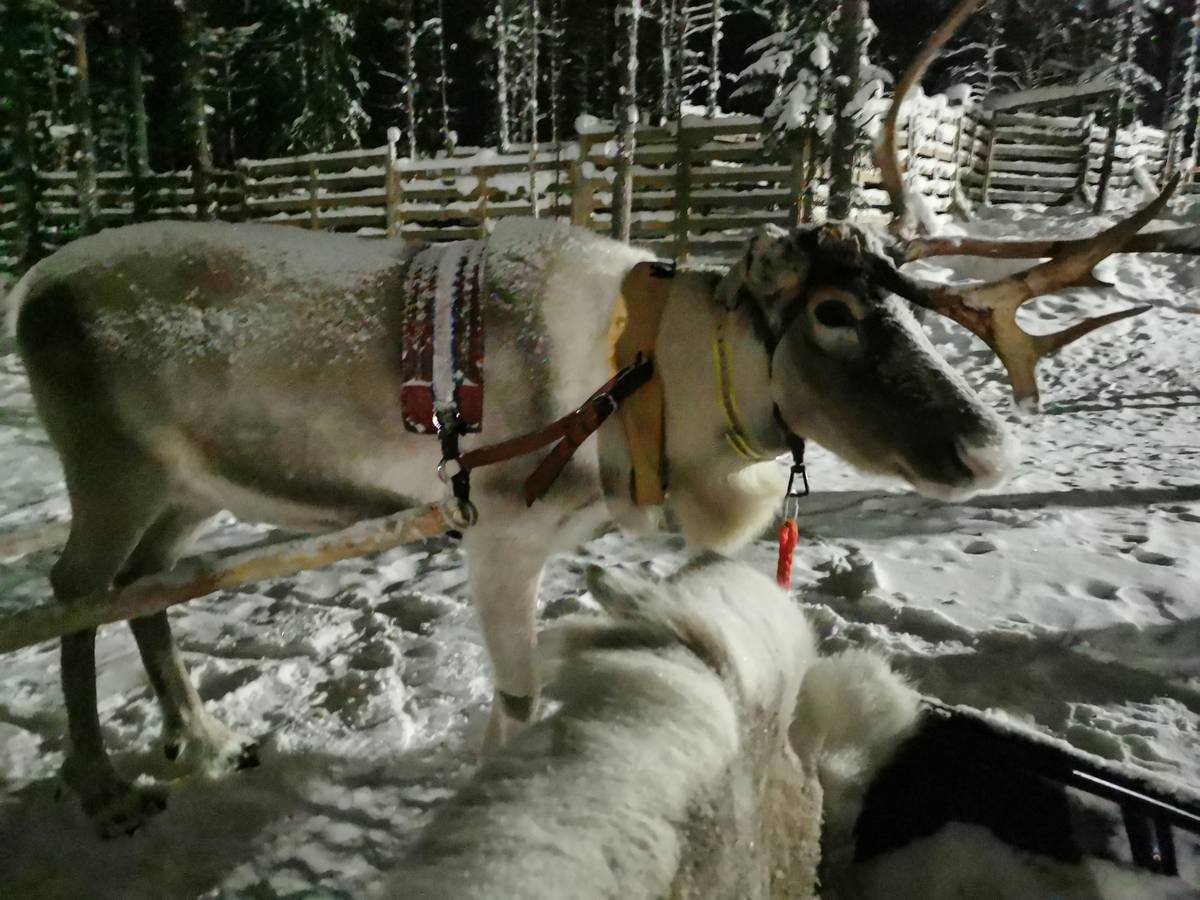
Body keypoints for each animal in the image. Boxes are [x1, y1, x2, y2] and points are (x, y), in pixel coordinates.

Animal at [2, 0, 1176, 840]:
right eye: (834, 313)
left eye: (907, 308)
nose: (987, 447)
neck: (650, 391)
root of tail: (29, 292)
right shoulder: (496, 533)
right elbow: (519, 701)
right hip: (111, 471)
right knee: (72, 592)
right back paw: (105, 788)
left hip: (189, 490)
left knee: (144, 592)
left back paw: (200, 738)